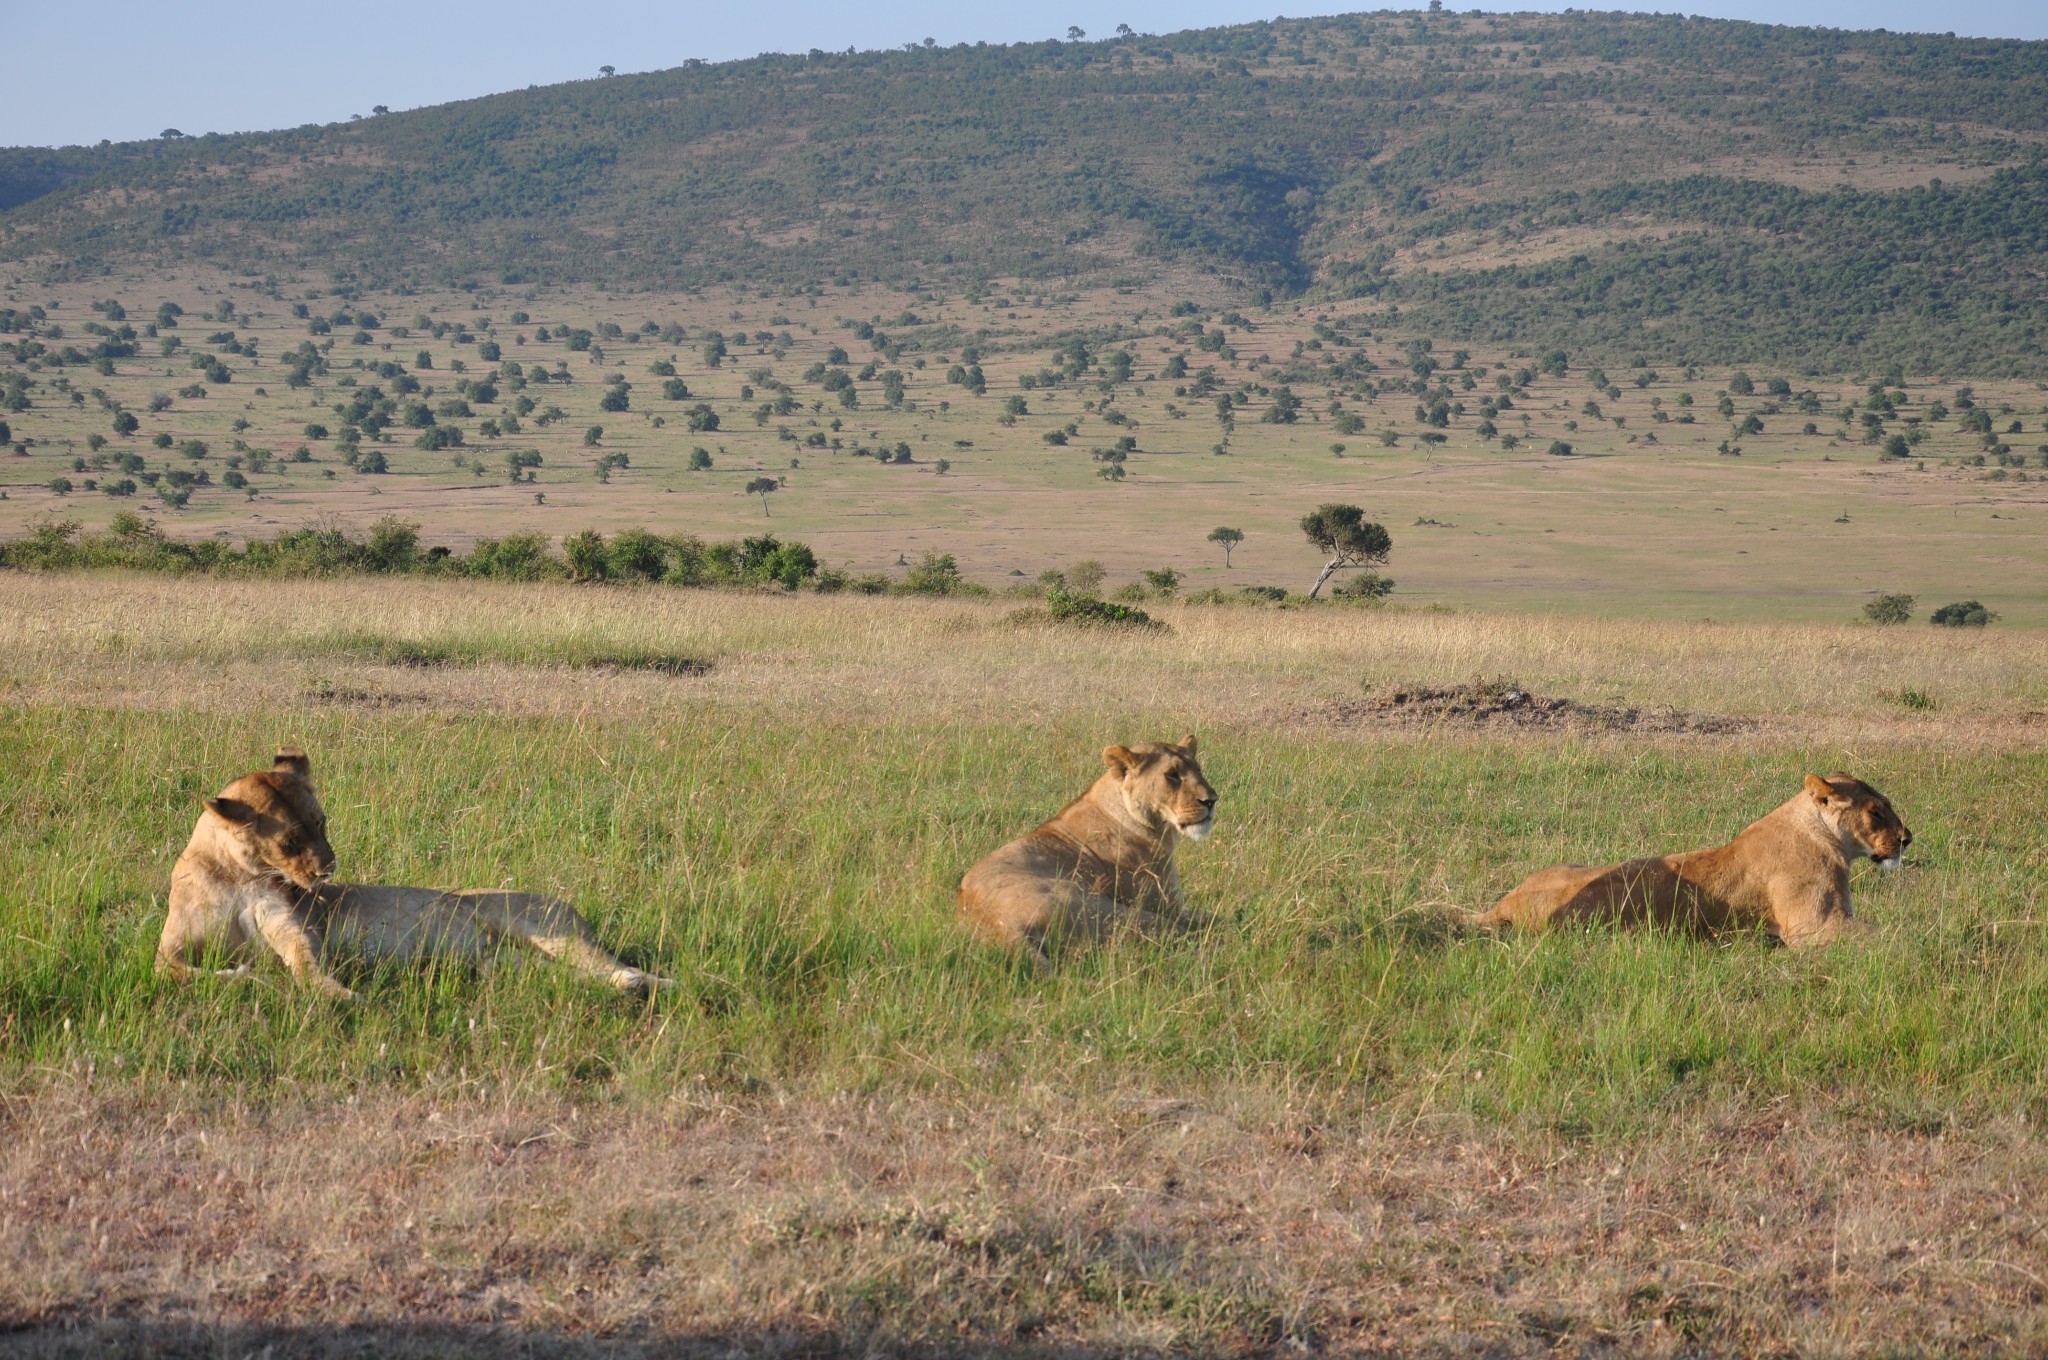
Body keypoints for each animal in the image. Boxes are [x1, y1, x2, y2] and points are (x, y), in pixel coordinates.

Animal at [161, 745, 671, 999]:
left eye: (321, 822)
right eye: (289, 842)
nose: (329, 870)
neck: (240, 873)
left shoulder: (294, 926)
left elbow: (305, 964)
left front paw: (337, 995)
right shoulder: (170, 946)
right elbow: (177, 971)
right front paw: (249, 978)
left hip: (541, 925)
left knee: (612, 965)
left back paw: (654, 983)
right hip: (507, 961)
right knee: (561, 974)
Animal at [958, 737, 1212, 962]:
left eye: (1199, 769)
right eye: (1172, 775)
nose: (1212, 801)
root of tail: (1001, 924)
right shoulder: (1167, 906)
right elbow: (1213, 917)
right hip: (1114, 909)